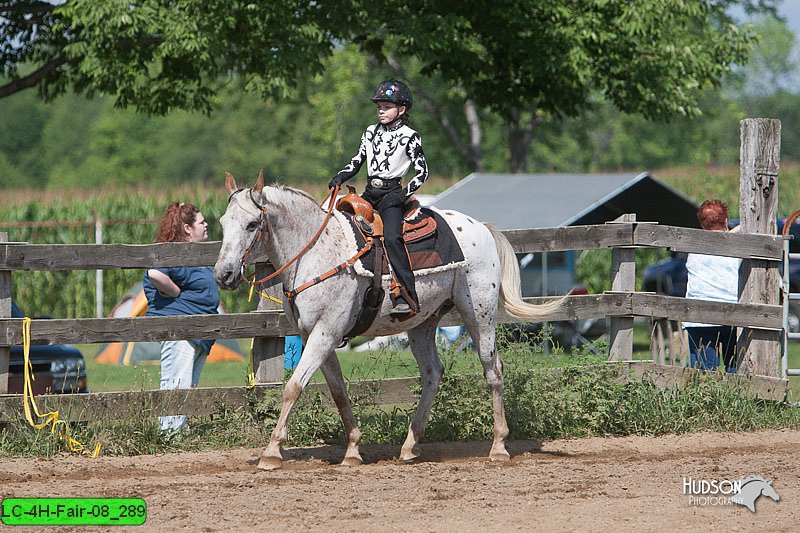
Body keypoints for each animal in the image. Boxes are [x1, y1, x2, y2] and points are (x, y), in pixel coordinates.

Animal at [212, 171, 564, 470]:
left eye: (252, 223)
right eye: (223, 222)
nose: (223, 275)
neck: (317, 253)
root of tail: (481, 227)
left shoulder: (325, 333)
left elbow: (293, 387)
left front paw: (272, 452)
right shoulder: (317, 335)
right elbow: (338, 392)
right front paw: (353, 449)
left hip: (480, 314)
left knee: (493, 371)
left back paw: (498, 446)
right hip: (423, 323)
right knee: (433, 374)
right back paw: (409, 446)